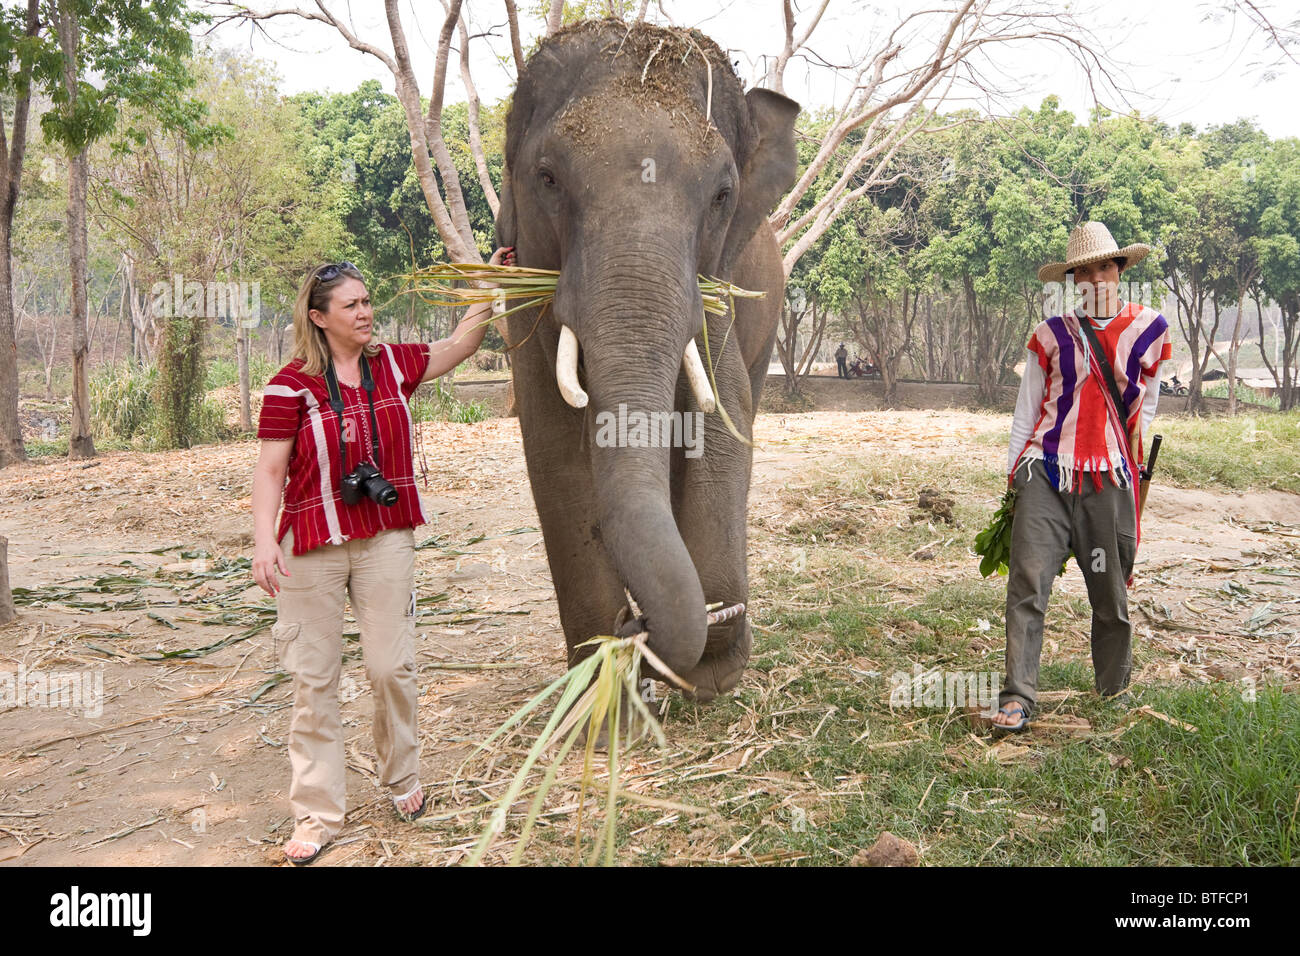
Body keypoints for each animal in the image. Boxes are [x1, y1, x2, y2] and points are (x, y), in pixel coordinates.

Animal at [493, 19, 800, 701]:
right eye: (547, 178)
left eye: (722, 195)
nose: (635, 623)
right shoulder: (524, 282)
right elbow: (551, 439)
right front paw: (599, 681)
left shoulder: (715, 286)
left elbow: (723, 414)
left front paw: (711, 668)